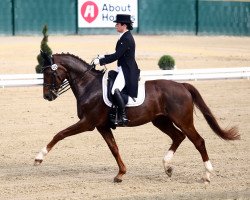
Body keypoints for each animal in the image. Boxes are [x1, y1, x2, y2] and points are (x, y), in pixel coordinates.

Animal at [34, 52, 239, 183]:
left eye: (49, 72)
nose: (47, 96)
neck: (89, 85)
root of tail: (181, 85)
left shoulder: (88, 123)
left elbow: (60, 134)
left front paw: (39, 157)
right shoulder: (102, 126)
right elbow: (114, 148)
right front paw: (120, 174)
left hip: (183, 120)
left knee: (198, 141)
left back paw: (206, 175)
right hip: (160, 121)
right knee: (178, 137)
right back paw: (167, 167)